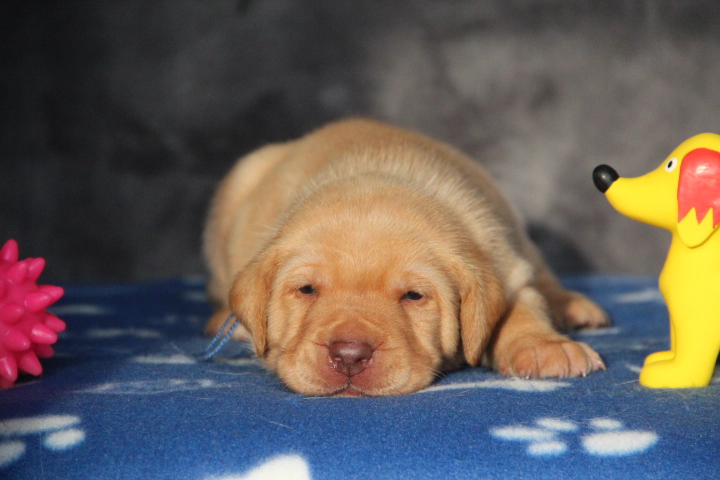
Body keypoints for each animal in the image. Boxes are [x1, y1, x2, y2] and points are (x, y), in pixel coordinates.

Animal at [205, 118, 608, 396]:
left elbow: (521, 309)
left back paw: (572, 306)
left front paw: (544, 346)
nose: (349, 354)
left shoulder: (504, 265)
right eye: (306, 290)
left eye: (413, 296)